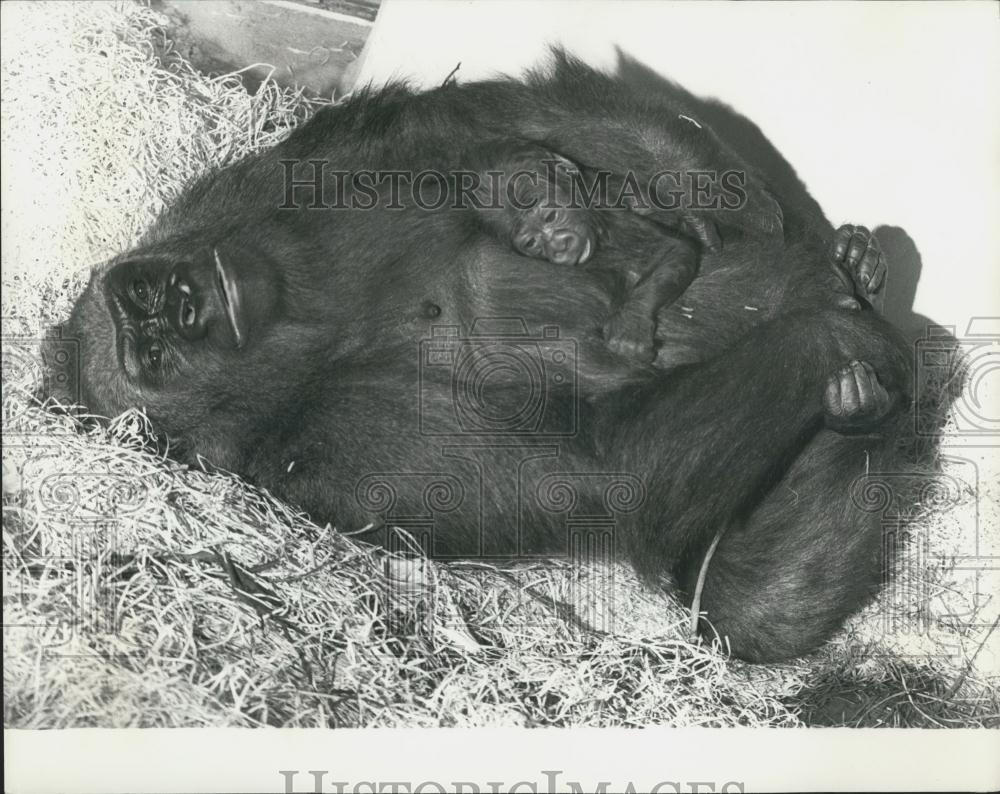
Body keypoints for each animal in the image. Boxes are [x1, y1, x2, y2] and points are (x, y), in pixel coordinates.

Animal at [466, 141, 696, 360]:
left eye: (550, 216)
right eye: (531, 243)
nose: (560, 247)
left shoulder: (608, 218)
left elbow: (673, 247)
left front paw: (632, 323)